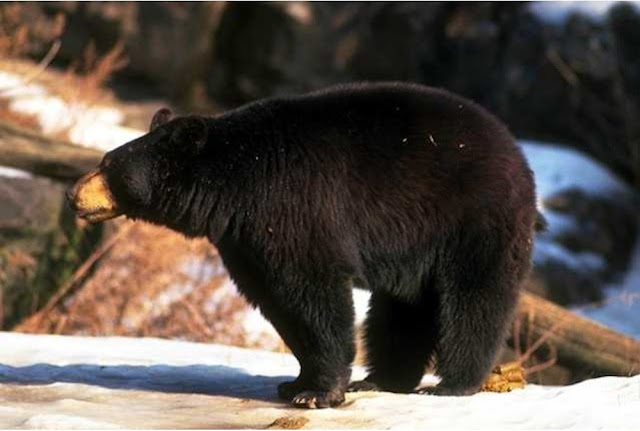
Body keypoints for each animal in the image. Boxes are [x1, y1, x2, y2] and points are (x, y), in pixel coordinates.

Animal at [69, 82, 540, 410]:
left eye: (109, 165)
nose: (74, 194)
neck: (236, 182)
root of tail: (519, 156)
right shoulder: (245, 237)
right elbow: (276, 299)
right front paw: (298, 382)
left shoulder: (293, 207)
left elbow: (311, 291)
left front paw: (316, 393)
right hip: (417, 244)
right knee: (402, 310)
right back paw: (381, 379)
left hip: (473, 219)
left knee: (474, 300)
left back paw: (451, 384)